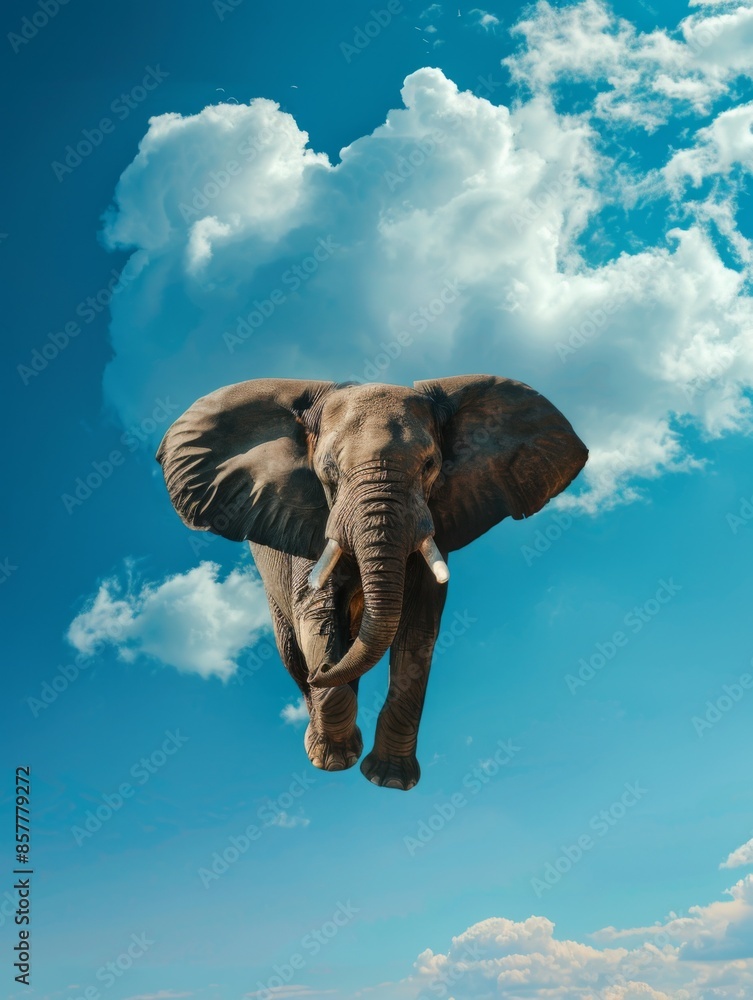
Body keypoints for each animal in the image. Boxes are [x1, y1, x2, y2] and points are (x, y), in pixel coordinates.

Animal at [156, 375, 587, 790]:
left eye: (430, 465)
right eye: (329, 470)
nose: (320, 670)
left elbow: (418, 633)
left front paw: (390, 780)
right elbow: (316, 618)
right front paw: (335, 760)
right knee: (292, 650)